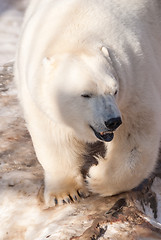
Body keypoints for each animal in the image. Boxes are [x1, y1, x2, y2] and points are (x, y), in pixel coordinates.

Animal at [14, 0, 161, 206]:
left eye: (114, 90)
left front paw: (98, 177)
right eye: (86, 94)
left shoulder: (135, 78)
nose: (113, 121)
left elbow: (135, 135)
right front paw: (64, 194)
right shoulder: (35, 89)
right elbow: (53, 136)